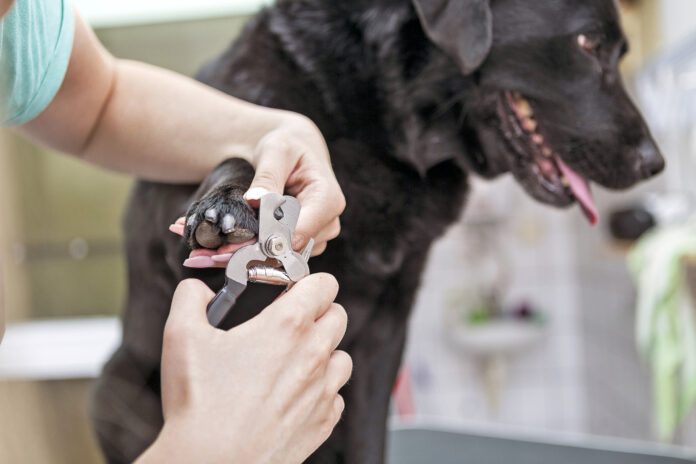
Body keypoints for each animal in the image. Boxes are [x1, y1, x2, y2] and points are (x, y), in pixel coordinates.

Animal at [91, 1, 664, 462]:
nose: (654, 163)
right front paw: (225, 204)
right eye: (587, 43)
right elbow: (246, 152)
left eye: (619, 50)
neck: (379, 124)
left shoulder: (388, 328)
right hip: (113, 388)